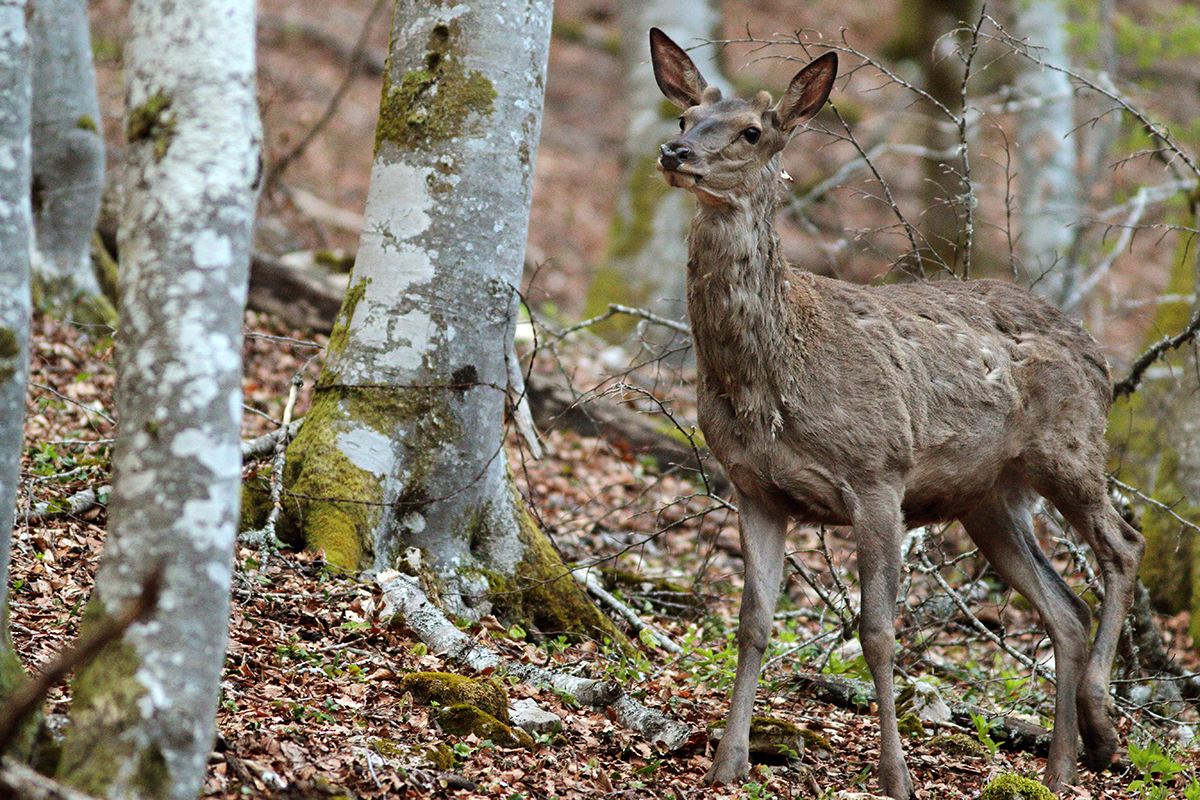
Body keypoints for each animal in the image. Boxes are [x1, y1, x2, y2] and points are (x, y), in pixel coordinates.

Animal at [652, 28, 1147, 796]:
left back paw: (1101, 724)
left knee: (1123, 546)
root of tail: (1098, 353)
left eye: (752, 131)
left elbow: (879, 631)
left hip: (1071, 447)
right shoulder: (754, 487)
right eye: (684, 116)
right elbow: (752, 622)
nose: (675, 153)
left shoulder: (878, 471)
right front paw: (727, 764)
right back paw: (1062, 766)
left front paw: (895, 775)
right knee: (1066, 609)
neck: (772, 379)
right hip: (988, 497)